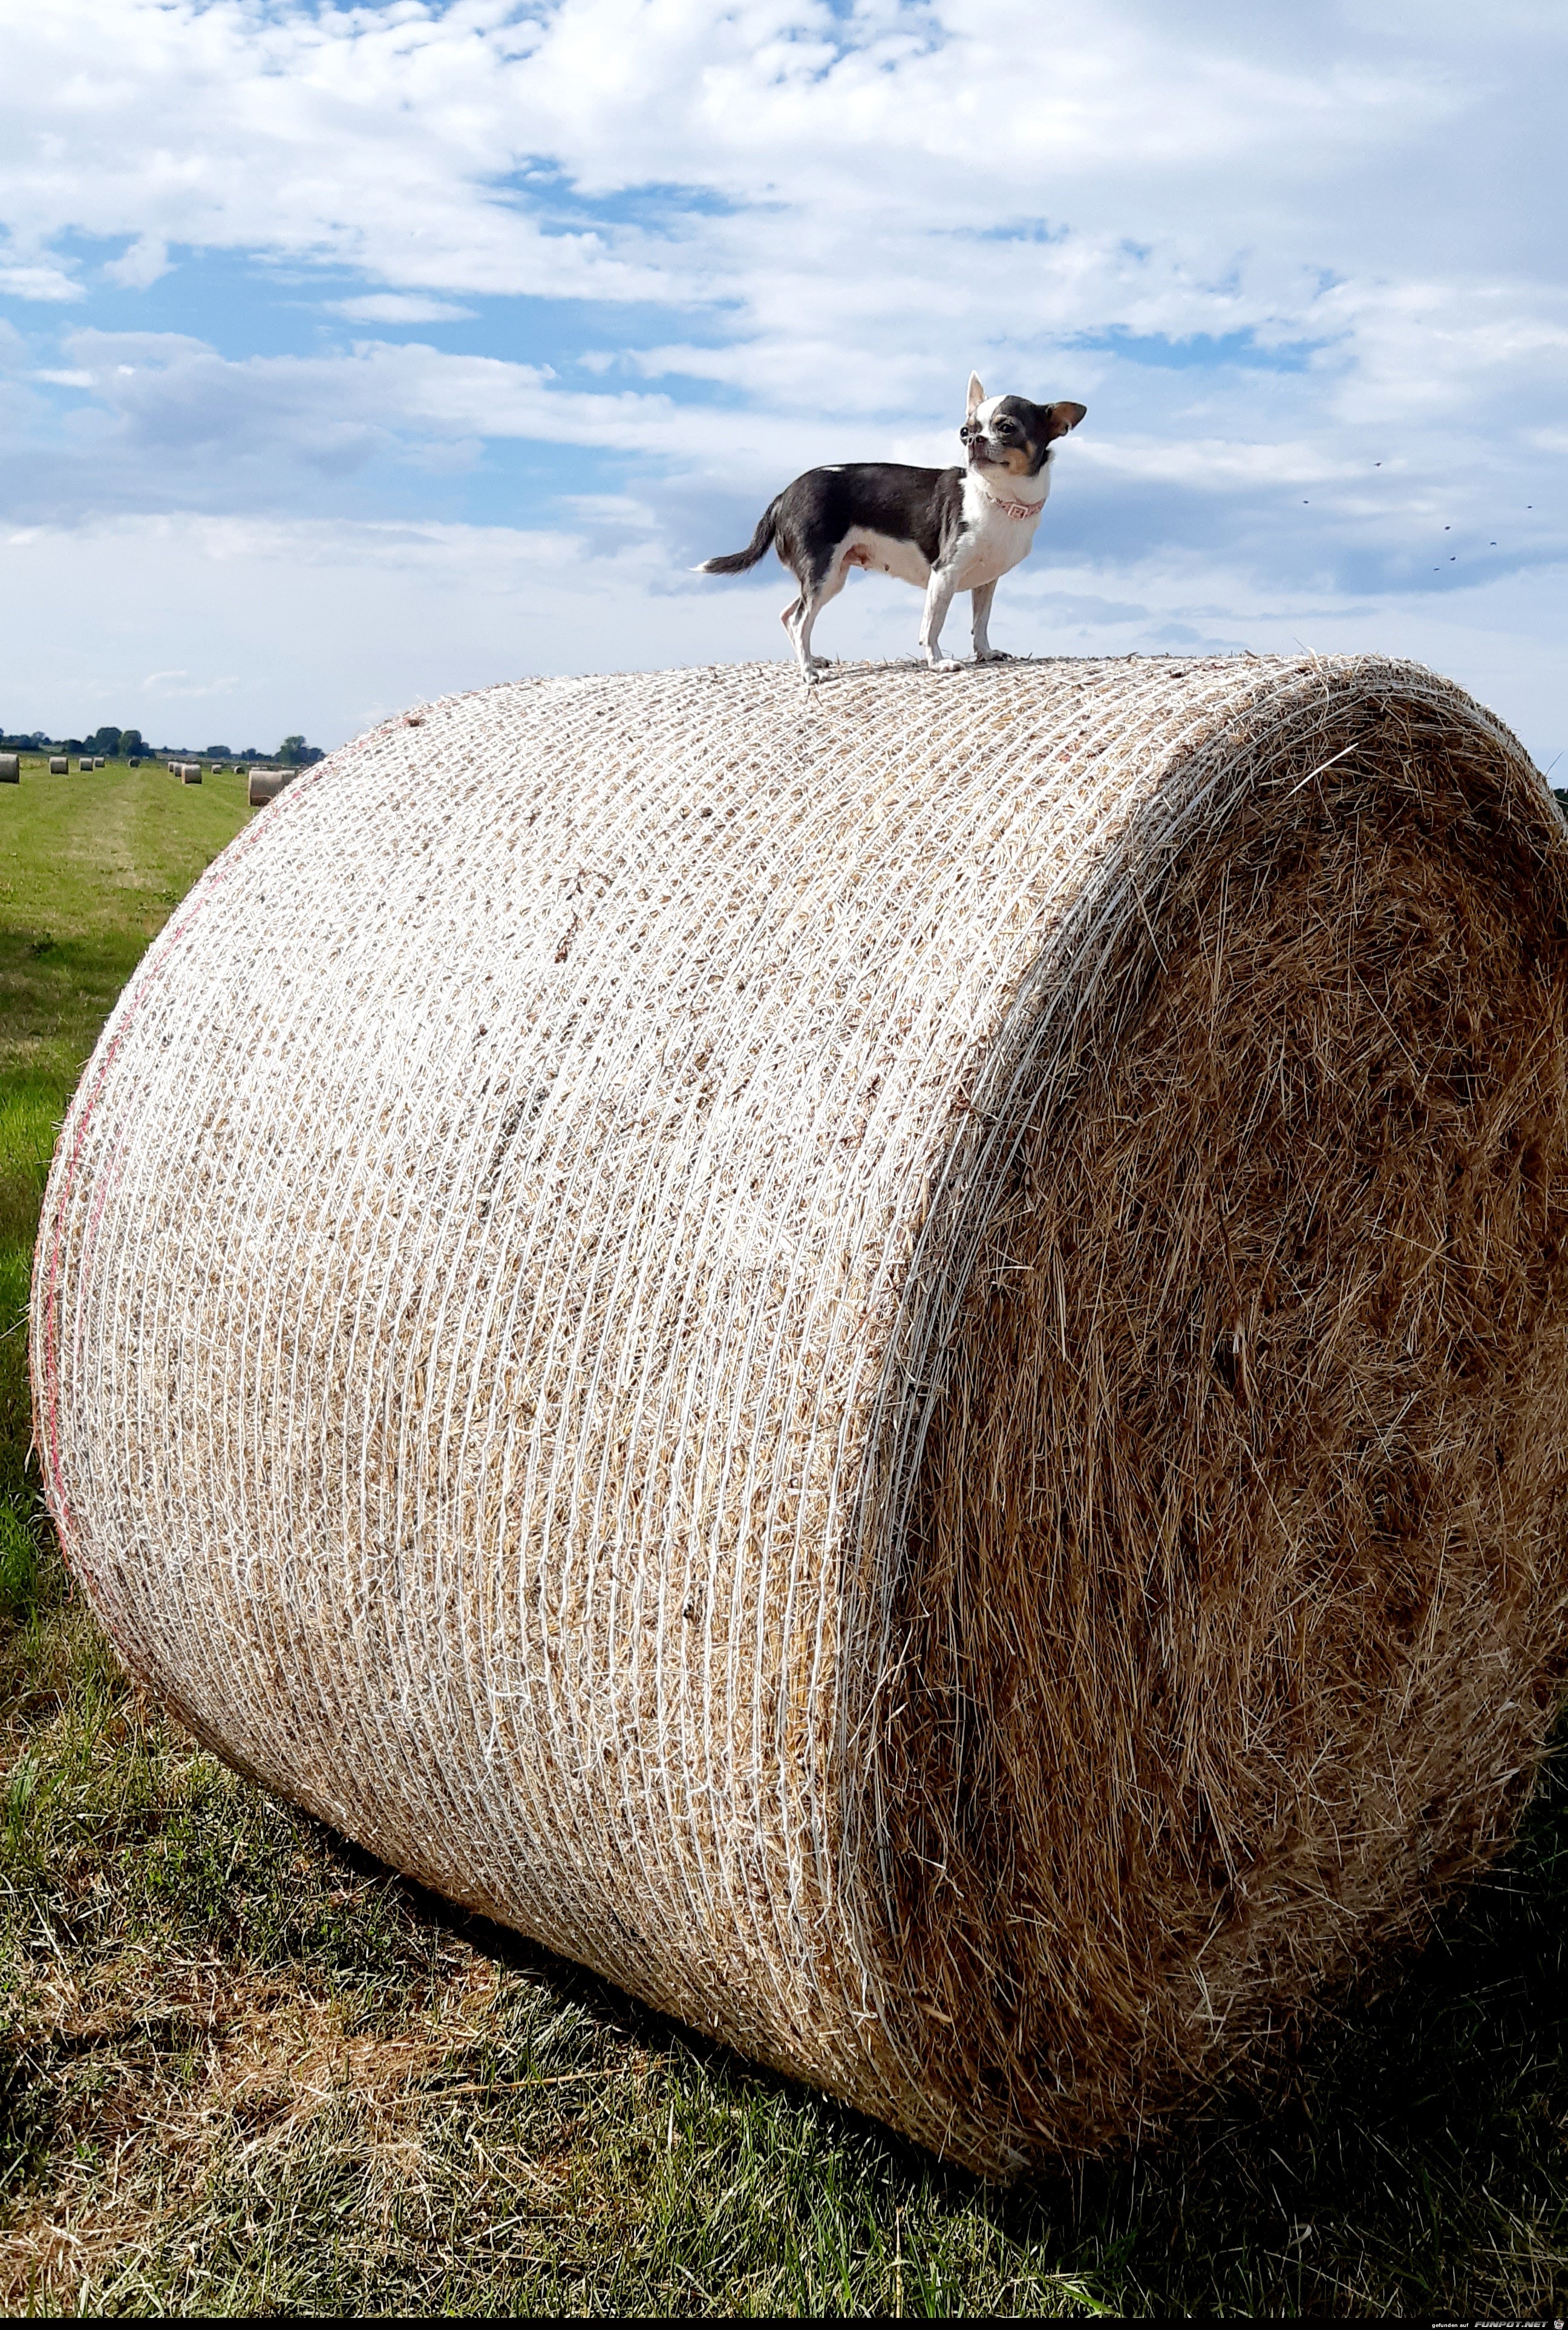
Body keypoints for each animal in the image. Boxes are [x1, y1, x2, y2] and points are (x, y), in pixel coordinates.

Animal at [699, 373, 1081, 680]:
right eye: (964, 432)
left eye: (1006, 428)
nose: (973, 440)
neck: (997, 496)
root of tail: (783, 496)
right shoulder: (944, 572)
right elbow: (933, 625)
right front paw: (938, 663)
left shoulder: (986, 581)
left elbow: (980, 622)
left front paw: (986, 654)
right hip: (823, 573)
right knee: (799, 620)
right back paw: (809, 673)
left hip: (829, 576)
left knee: (789, 614)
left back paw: (812, 660)